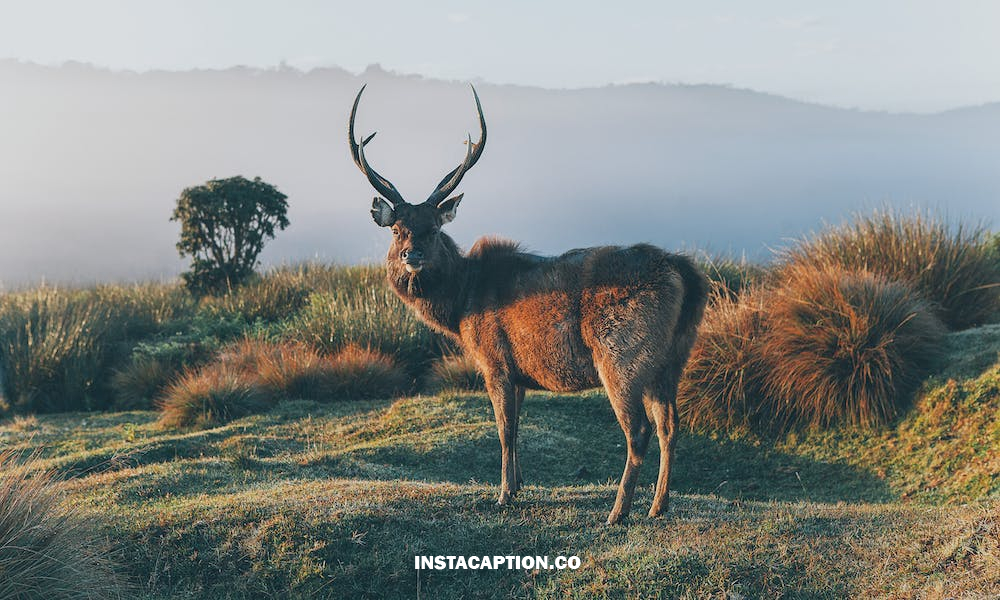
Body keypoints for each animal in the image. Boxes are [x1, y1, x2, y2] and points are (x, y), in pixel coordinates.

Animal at [347, 84, 709, 525]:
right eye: (397, 229)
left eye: (432, 229)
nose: (410, 255)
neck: (461, 305)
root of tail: (687, 274)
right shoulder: (519, 372)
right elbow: (517, 427)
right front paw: (518, 484)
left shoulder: (494, 359)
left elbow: (504, 429)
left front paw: (503, 494)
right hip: (673, 357)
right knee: (670, 424)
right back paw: (659, 504)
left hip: (622, 354)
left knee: (638, 429)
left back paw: (618, 511)